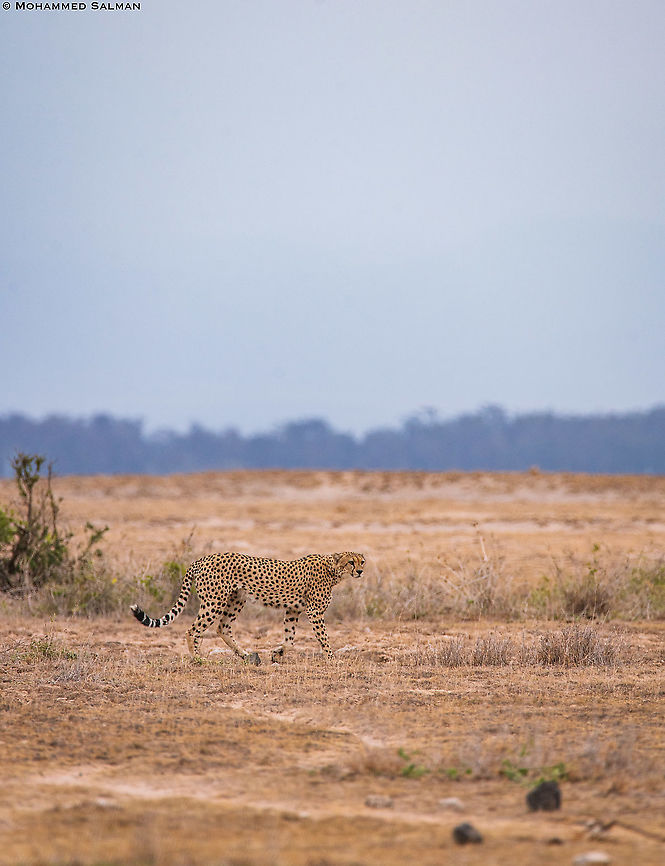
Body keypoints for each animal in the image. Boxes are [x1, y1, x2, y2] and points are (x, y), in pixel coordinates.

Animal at [130, 551, 365, 664]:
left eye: (361, 561)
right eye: (351, 562)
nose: (361, 571)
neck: (333, 569)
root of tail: (202, 559)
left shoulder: (293, 610)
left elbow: (290, 639)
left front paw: (277, 654)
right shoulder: (314, 611)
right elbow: (323, 638)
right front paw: (332, 659)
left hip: (236, 600)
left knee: (222, 628)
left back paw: (244, 655)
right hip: (214, 601)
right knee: (193, 630)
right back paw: (197, 658)